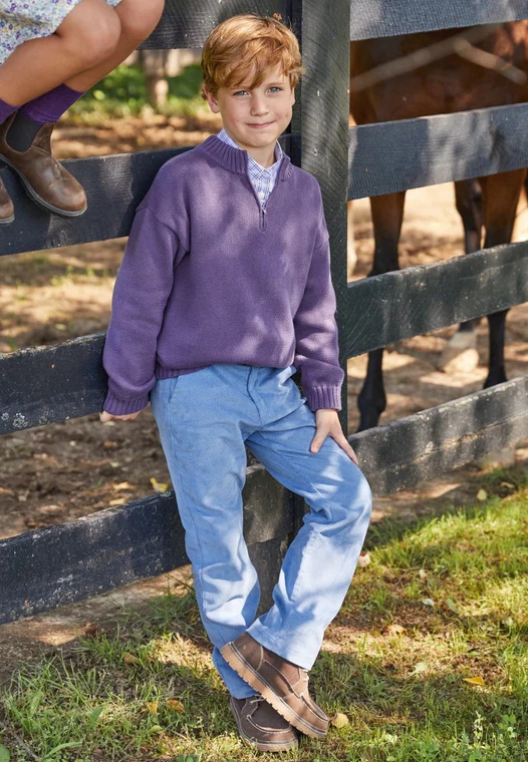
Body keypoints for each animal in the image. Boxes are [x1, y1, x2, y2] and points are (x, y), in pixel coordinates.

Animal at [350, 22, 528, 428]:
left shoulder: (508, 159)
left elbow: (498, 275)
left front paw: (496, 393)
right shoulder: (384, 153)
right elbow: (382, 273)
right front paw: (368, 413)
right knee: (469, 214)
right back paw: (461, 337)